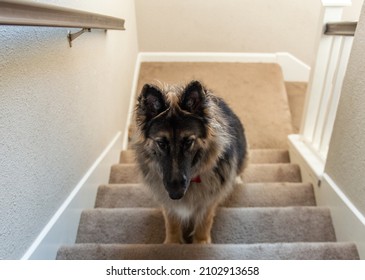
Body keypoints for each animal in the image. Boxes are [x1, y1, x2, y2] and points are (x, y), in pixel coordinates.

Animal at [134, 80, 247, 244]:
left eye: (188, 142)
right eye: (161, 143)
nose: (175, 194)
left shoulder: (208, 202)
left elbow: (204, 222)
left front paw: (201, 242)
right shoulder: (168, 203)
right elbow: (172, 221)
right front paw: (173, 242)